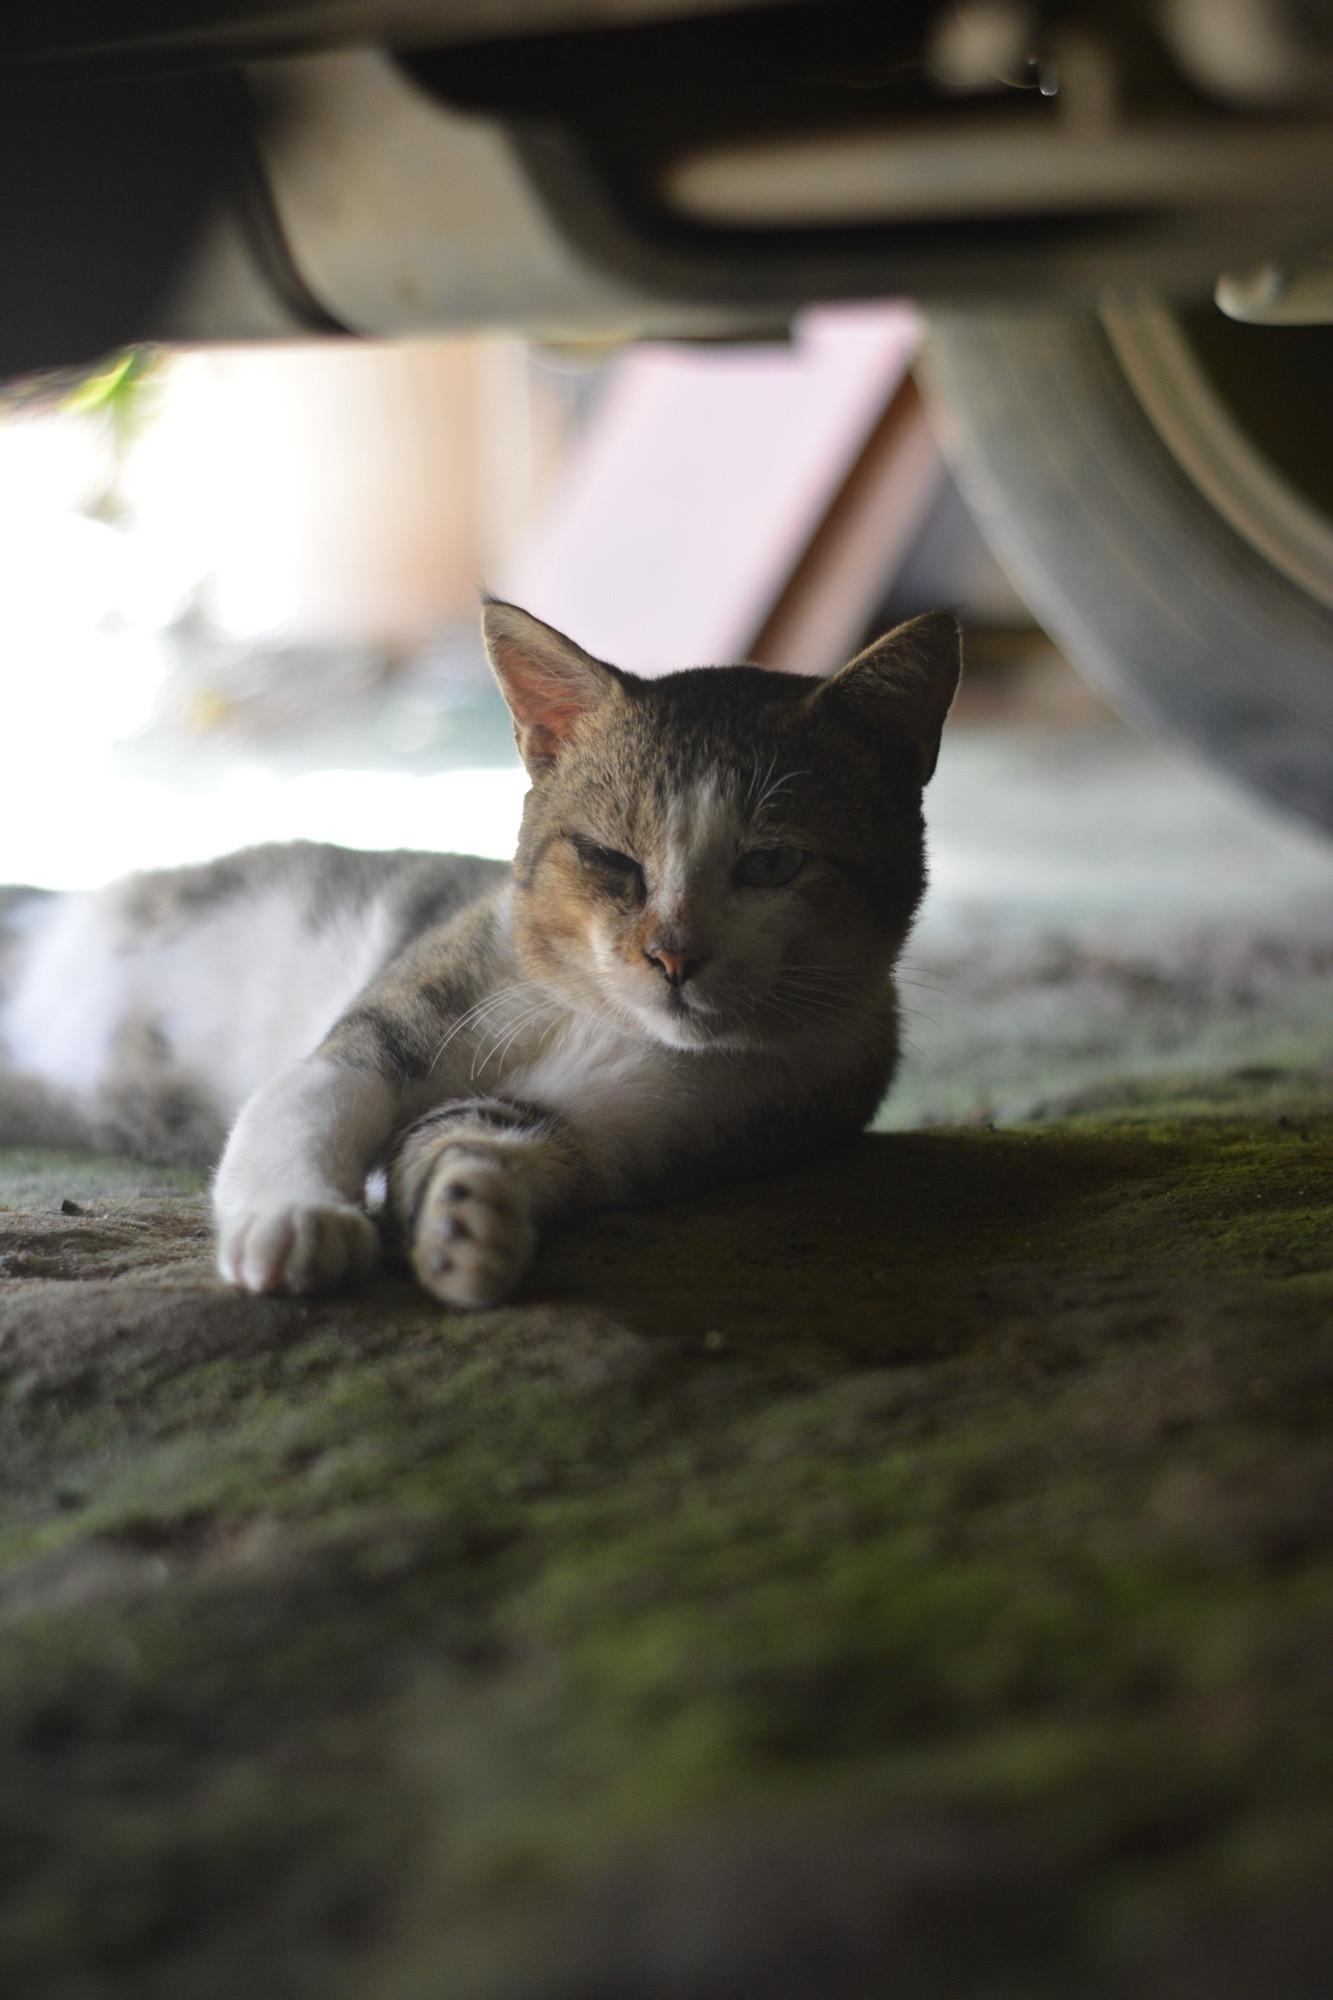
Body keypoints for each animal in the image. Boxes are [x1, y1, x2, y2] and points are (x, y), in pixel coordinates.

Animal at [0, 600, 956, 1304]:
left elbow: (471, 1138)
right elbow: (310, 1103)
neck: (604, 1021)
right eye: (609, 857)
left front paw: (470, 1223)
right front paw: (296, 1217)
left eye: (772, 863)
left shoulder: (634, 1137)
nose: (672, 955)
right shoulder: (388, 1024)